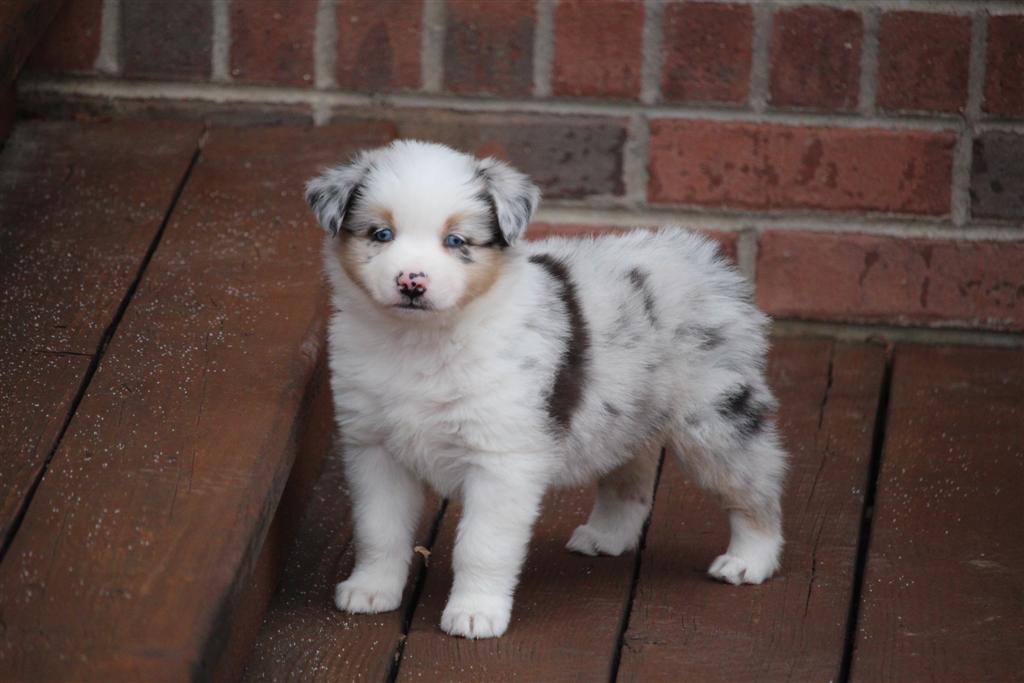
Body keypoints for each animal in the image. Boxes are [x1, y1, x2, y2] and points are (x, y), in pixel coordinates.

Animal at [301, 140, 782, 643]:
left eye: (456, 241)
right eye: (381, 234)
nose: (411, 281)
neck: (420, 340)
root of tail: (705, 257)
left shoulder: (501, 458)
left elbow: (481, 544)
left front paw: (475, 614)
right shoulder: (374, 448)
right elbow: (379, 530)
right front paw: (371, 590)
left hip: (715, 419)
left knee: (756, 486)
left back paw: (749, 560)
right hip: (623, 413)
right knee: (629, 478)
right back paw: (606, 536)